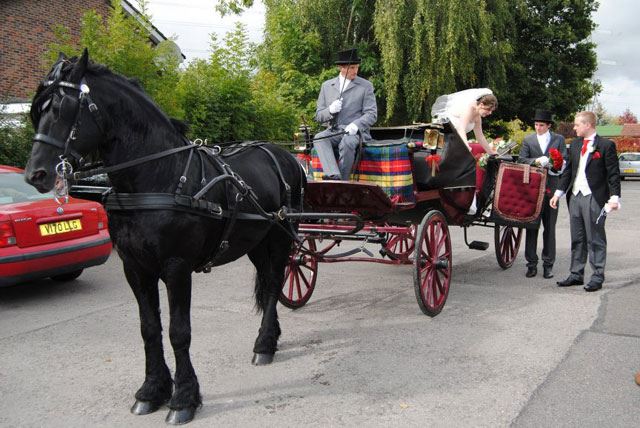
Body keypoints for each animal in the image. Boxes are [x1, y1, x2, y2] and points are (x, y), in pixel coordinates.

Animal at [25, 49, 304, 422]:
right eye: (37, 111)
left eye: (62, 109)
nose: (35, 174)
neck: (157, 177)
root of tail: (285, 154)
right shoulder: (135, 268)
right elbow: (149, 329)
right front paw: (151, 390)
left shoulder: (177, 267)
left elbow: (178, 332)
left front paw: (184, 398)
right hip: (256, 241)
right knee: (269, 279)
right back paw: (269, 339)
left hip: (281, 236)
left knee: (275, 284)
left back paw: (263, 345)